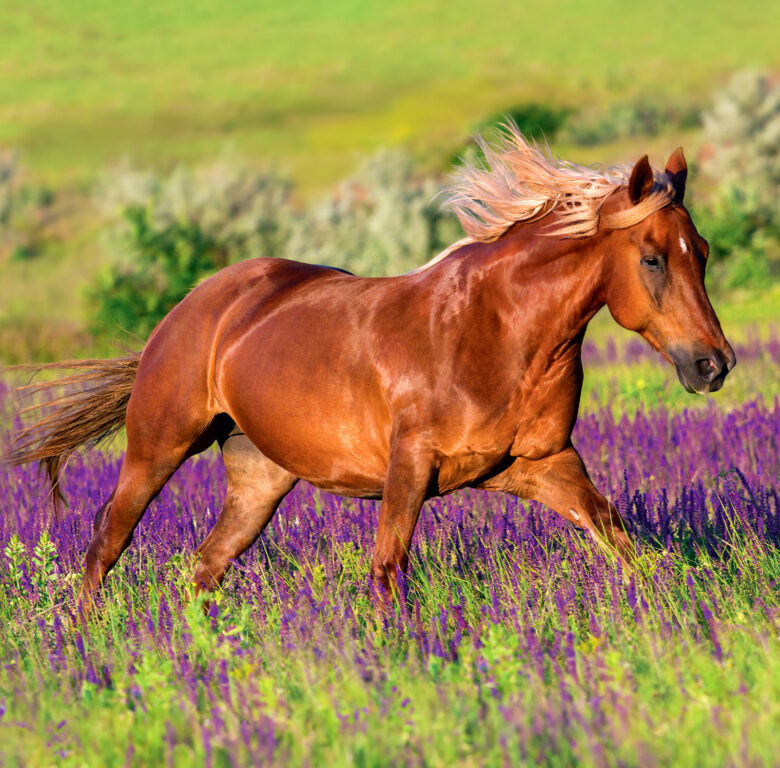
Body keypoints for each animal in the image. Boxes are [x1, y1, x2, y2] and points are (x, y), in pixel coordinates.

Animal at [6, 128, 735, 605]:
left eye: (700, 250)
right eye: (651, 258)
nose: (714, 364)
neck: (498, 332)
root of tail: (190, 306)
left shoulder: (542, 464)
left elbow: (622, 540)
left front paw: (670, 616)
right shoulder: (408, 463)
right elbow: (387, 568)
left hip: (259, 475)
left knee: (206, 567)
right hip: (158, 445)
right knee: (107, 540)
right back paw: (86, 639)